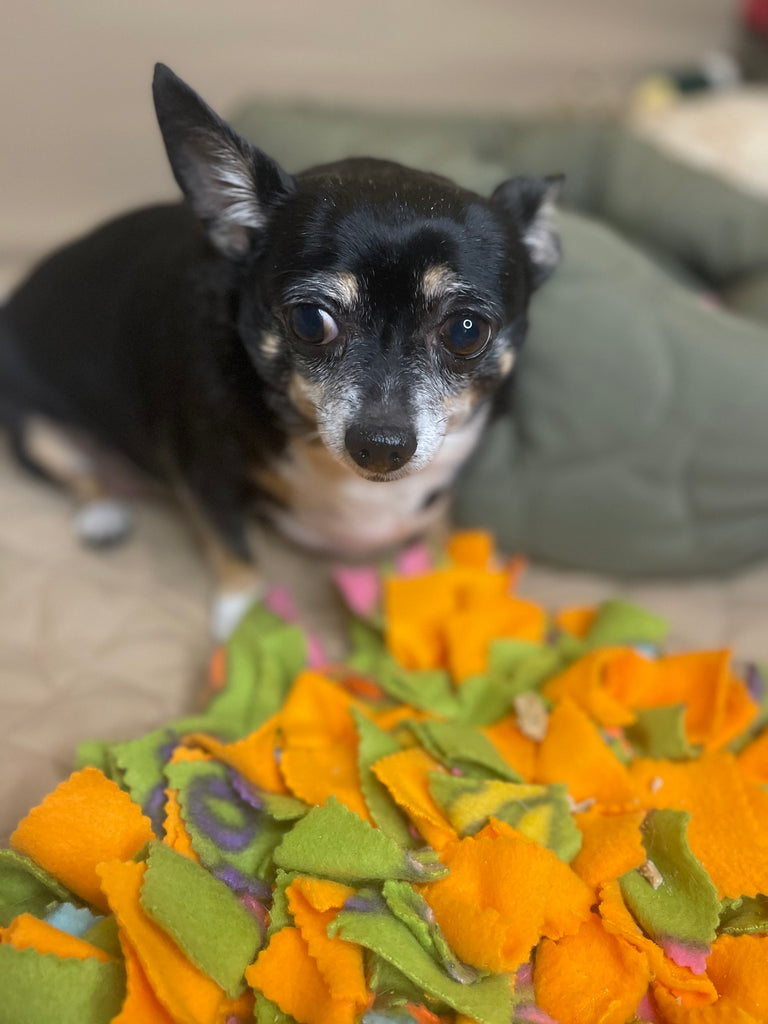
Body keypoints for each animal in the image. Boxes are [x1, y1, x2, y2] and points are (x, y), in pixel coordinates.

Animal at [1, 64, 565, 634]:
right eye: (310, 321)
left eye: (466, 331)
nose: (381, 445)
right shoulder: (206, 480)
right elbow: (232, 548)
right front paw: (244, 620)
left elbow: (436, 523)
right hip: (36, 429)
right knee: (77, 474)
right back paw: (101, 514)